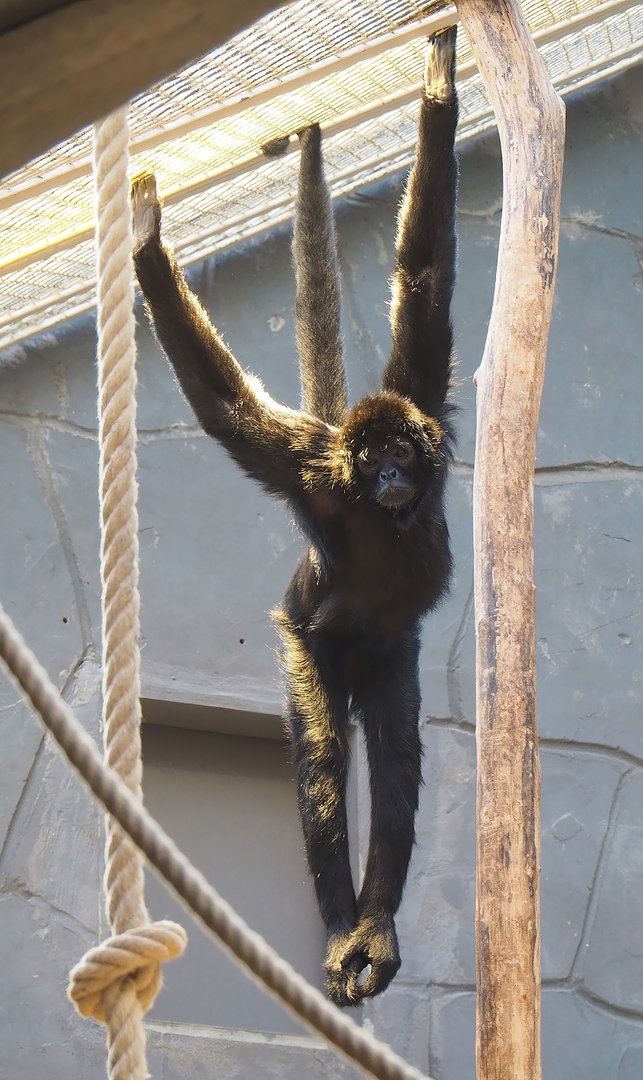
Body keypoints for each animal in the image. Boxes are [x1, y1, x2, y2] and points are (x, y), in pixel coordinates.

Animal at [131, 26, 458, 1007]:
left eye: (402, 457)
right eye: (373, 459)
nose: (386, 474)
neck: (381, 522)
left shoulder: (421, 400)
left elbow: (425, 279)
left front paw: (437, 91)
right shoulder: (316, 472)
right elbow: (229, 414)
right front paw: (150, 239)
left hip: (387, 654)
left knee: (393, 752)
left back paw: (373, 927)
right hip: (309, 643)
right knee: (321, 760)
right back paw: (342, 926)